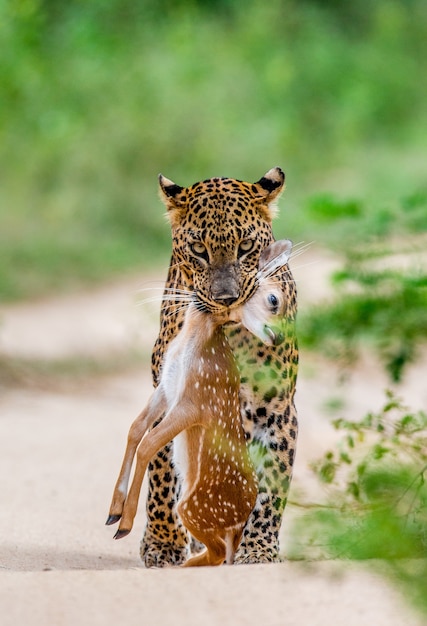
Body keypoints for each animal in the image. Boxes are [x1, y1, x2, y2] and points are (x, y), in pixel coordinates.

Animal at [140, 166, 298, 564]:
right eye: (199, 250)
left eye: (245, 247)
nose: (226, 299)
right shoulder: (169, 399)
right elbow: (161, 472)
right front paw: (163, 543)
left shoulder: (276, 409)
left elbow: (271, 485)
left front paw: (258, 549)